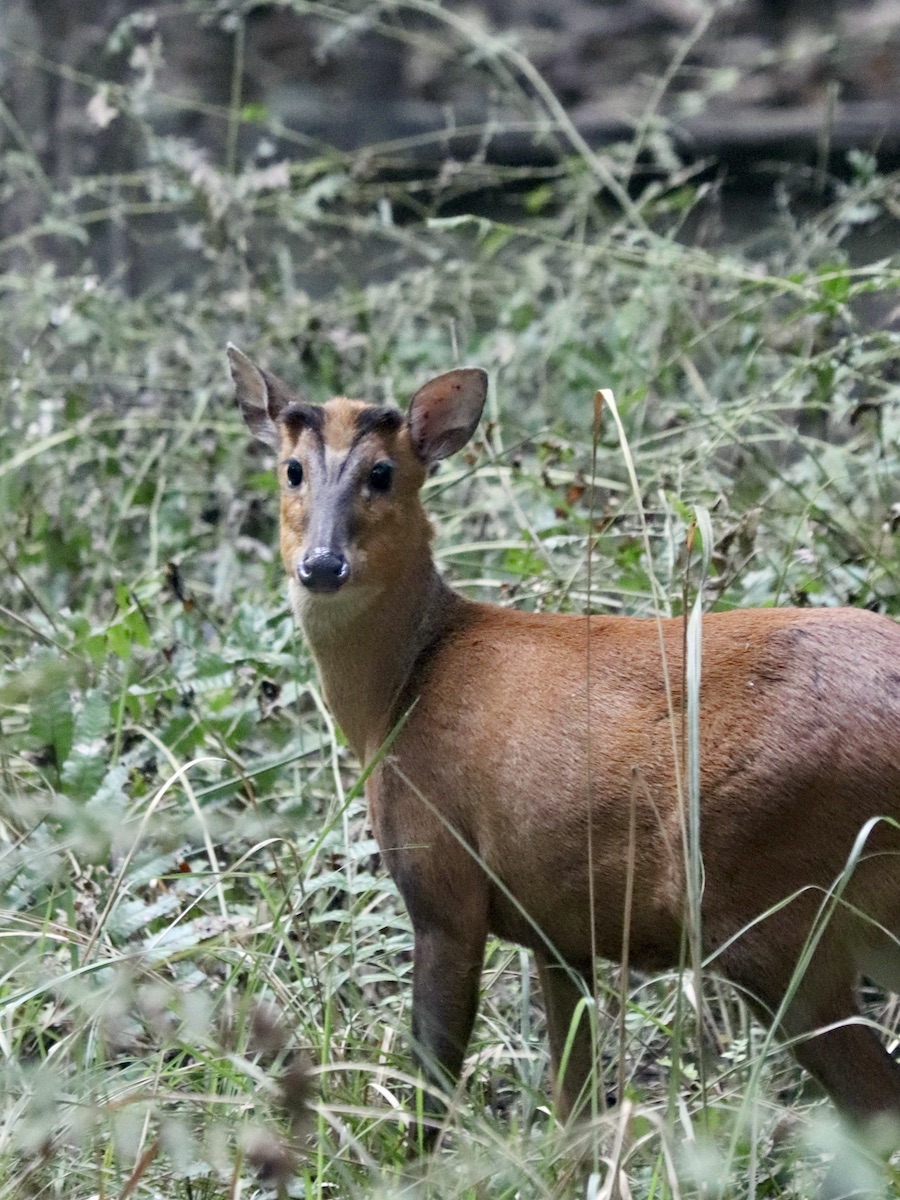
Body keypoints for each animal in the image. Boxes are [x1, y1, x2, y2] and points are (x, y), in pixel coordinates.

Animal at [229, 344, 900, 1149]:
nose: (322, 564)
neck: (401, 694)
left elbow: (433, 1080)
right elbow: (575, 1105)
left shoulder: (444, 884)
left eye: (382, 472)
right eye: (292, 469)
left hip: (768, 902)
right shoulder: (559, 925)